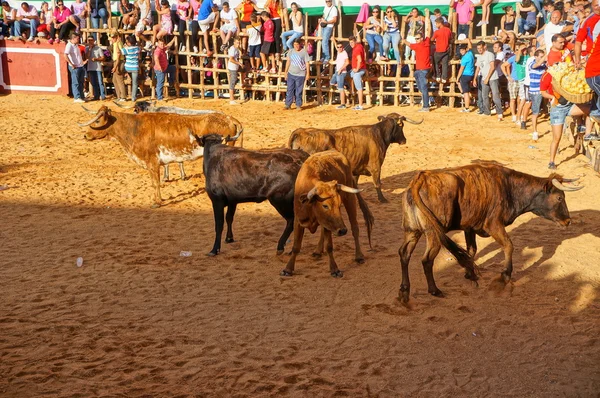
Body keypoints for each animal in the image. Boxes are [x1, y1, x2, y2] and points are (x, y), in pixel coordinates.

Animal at [79, 105, 244, 208]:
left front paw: (157, 202)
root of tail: (228, 118)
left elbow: (155, 183)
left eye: (98, 120)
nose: (85, 135)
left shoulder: (152, 162)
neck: (134, 128)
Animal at [288, 113, 422, 204]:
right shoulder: (376, 166)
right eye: (402, 126)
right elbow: (377, 183)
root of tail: (300, 132)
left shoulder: (356, 168)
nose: (404, 140)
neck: (378, 134)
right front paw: (382, 199)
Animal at [398, 163, 580, 304]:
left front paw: (470, 273)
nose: (568, 221)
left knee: (404, 253)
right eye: (559, 198)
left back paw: (404, 291)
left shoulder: (469, 227)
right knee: (427, 260)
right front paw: (504, 276)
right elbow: (508, 245)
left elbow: (471, 250)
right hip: (433, 234)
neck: (509, 187)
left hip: (412, 231)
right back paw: (434, 290)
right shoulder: (494, 225)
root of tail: (419, 179)